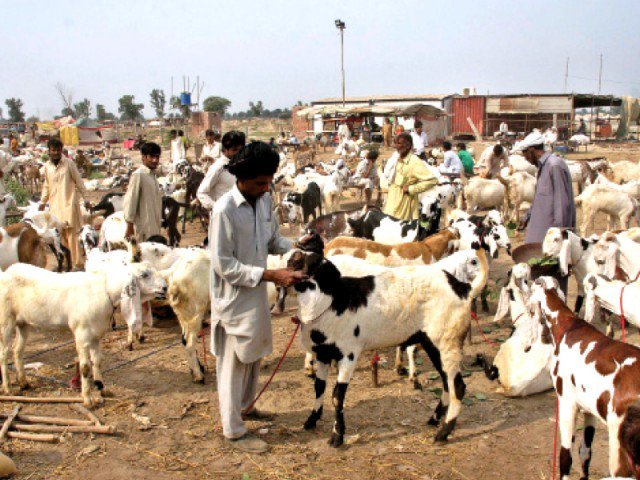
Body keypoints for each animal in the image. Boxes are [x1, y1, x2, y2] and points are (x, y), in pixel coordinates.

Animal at [288, 248, 488, 446]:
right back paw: (434, 419)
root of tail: (463, 289)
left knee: (458, 386)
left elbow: (337, 396)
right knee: (447, 381)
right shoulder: (323, 354)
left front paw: (337, 436)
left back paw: (443, 433)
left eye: (311, 262)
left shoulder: (349, 354)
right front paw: (311, 420)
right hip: (433, 344)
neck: (332, 302)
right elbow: (319, 387)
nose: (293, 255)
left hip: (448, 341)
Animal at [528, 276, 640, 478]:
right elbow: (585, 453)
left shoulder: (567, 403)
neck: (567, 326)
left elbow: (565, 458)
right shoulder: (589, 409)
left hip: (620, 451)